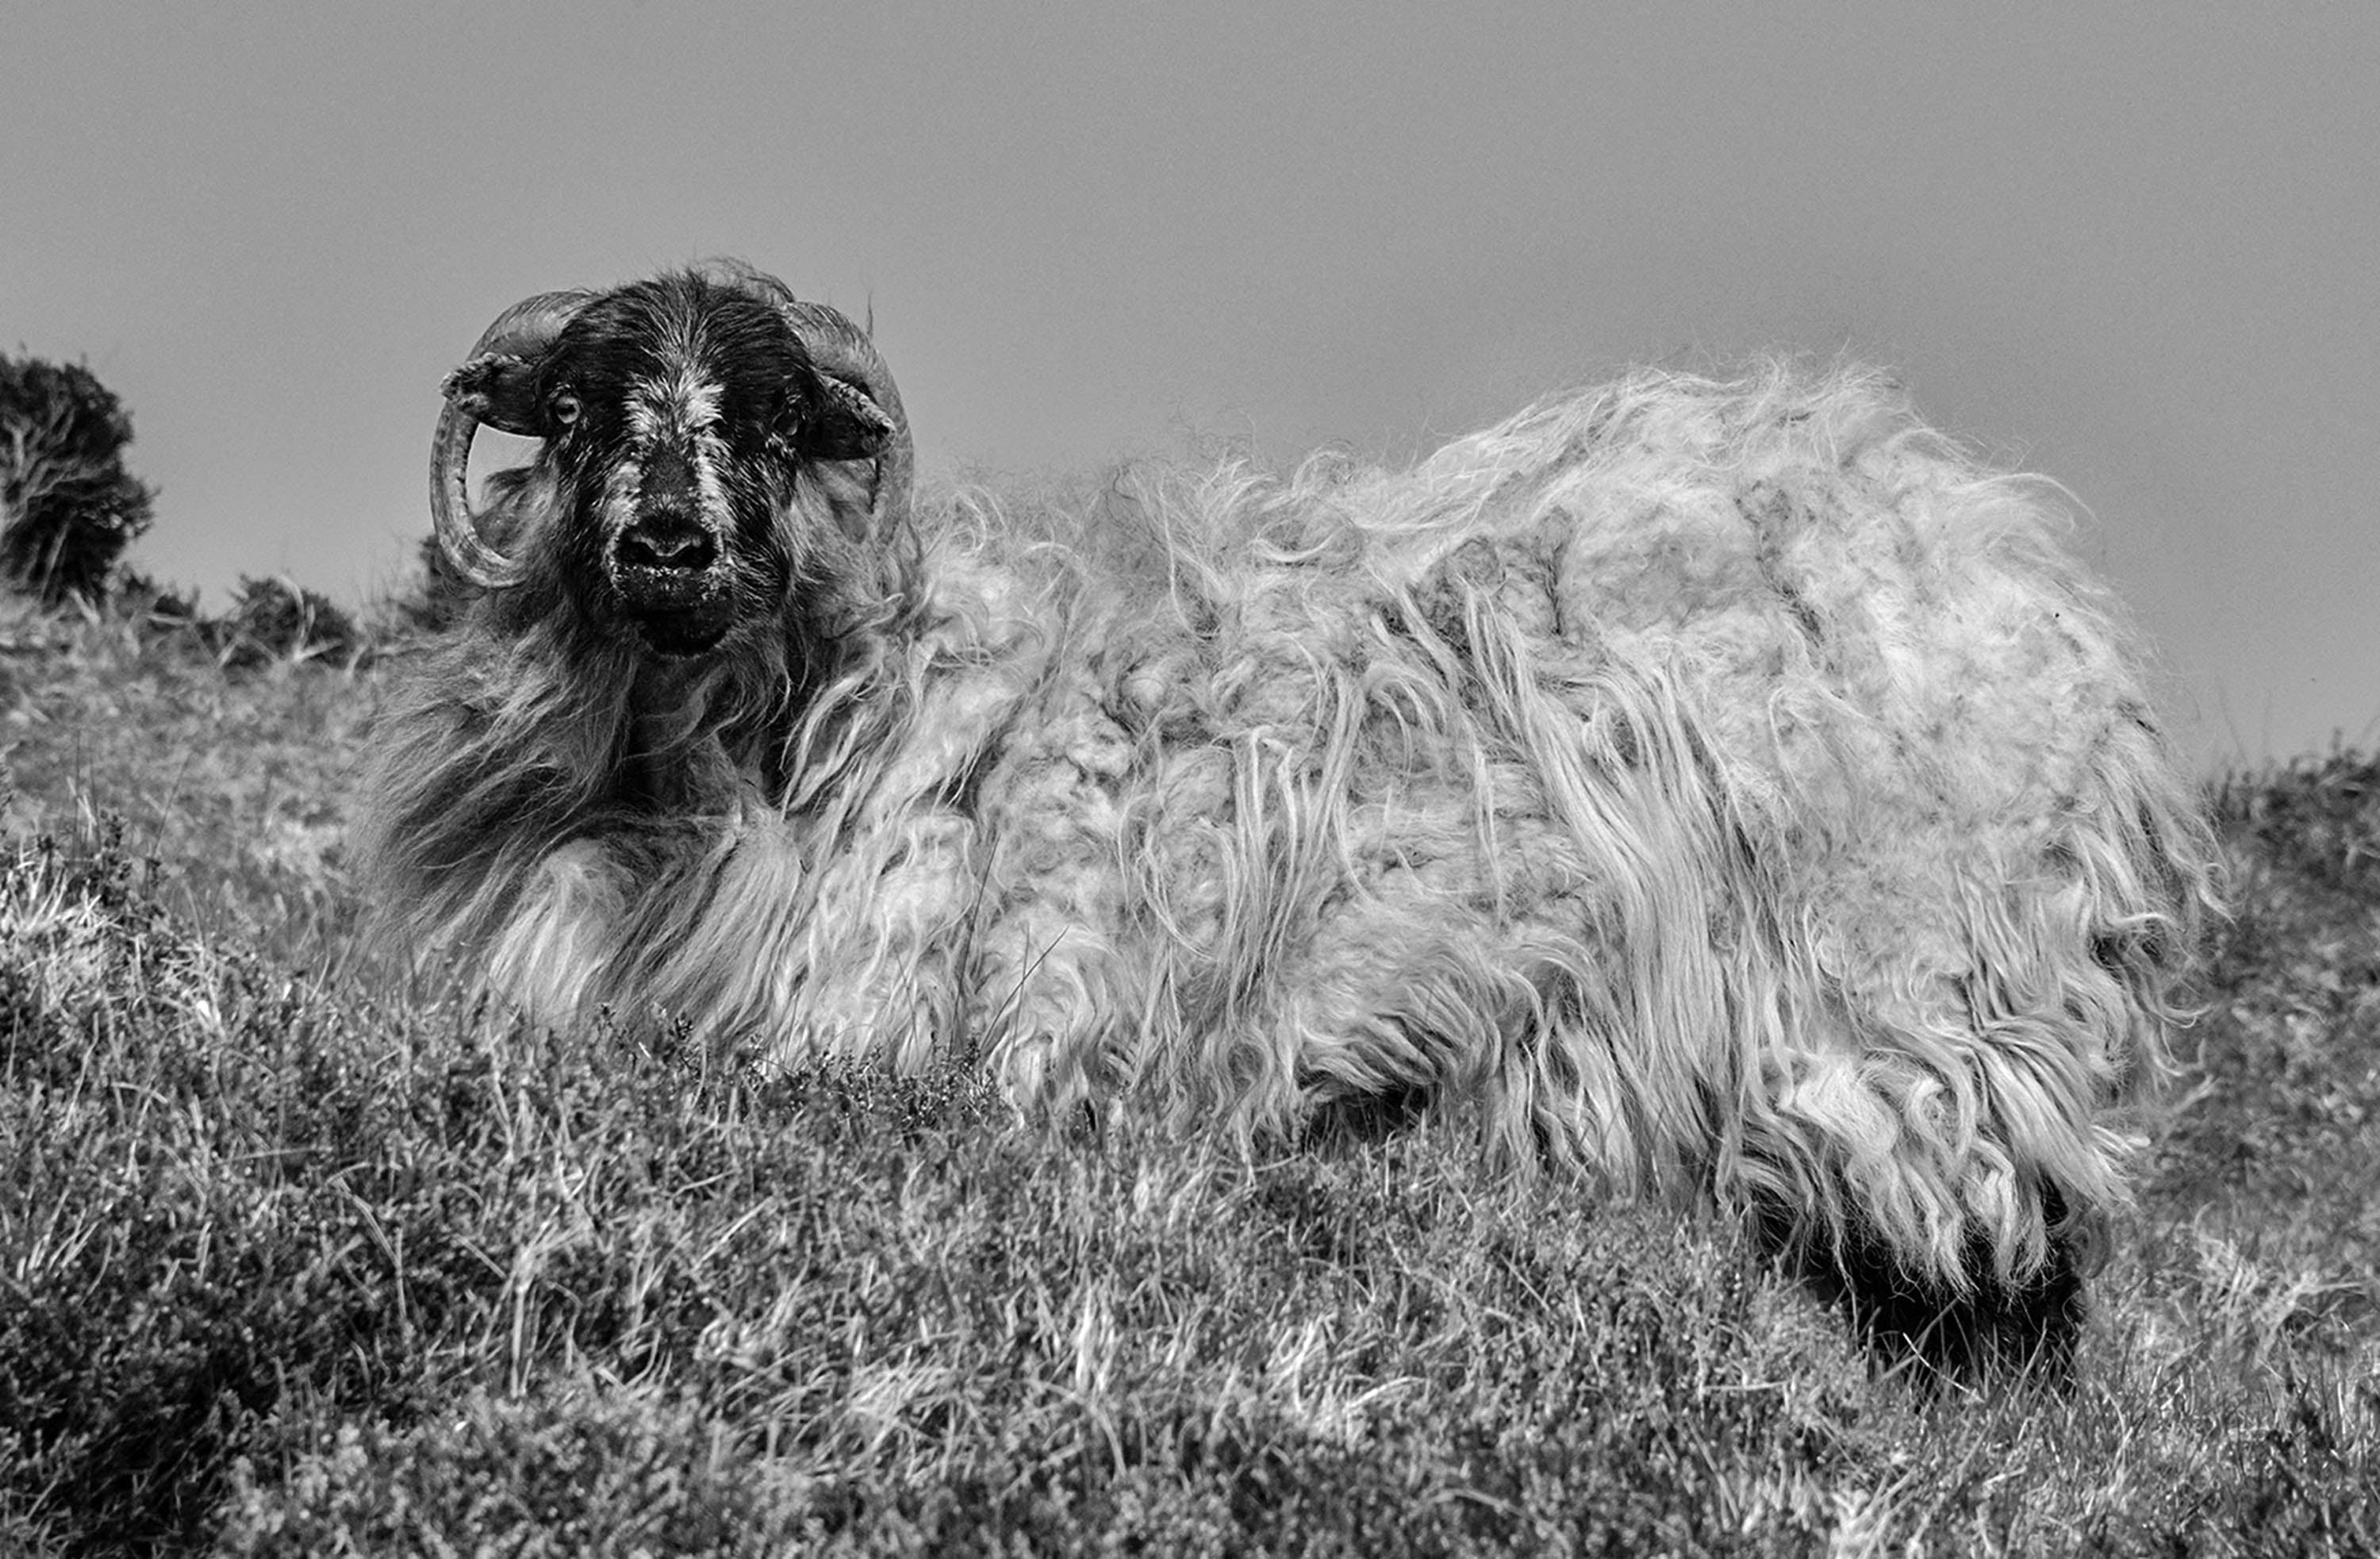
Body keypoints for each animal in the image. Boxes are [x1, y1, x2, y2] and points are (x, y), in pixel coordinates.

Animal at [360, 260, 2220, 1381]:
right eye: (579, 414)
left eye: (767, 423)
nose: (670, 544)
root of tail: (1990, 543)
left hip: (1911, 1006)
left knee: (1991, 1259)